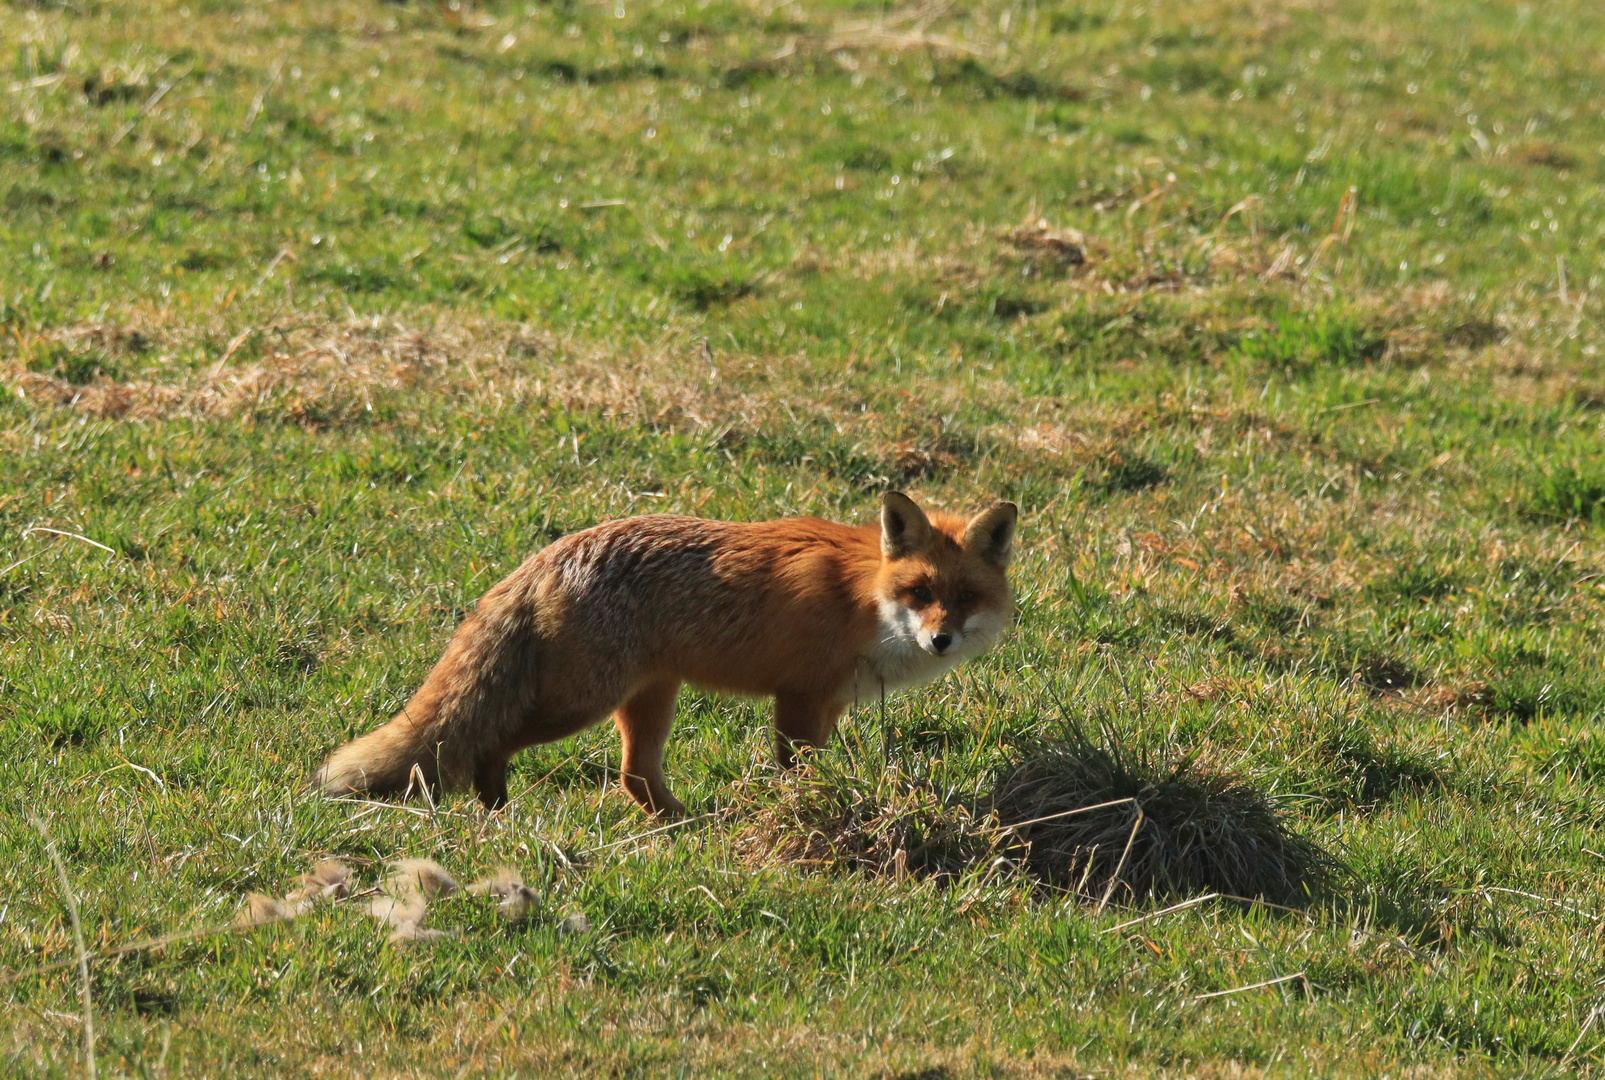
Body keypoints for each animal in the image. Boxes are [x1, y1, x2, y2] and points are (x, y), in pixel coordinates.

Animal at [316, 494, 1014, 812]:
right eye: (920, 592)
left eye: (964, 597)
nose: (940, 639)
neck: (864, 599)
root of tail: (545, 556)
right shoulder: (799, 696)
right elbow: (797, 771)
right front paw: (804, 814)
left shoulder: (830, 702)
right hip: (582, 702)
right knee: (491, 741)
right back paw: (498, 812)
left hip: (649, 697)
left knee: (635, 776)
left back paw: (690, 823)